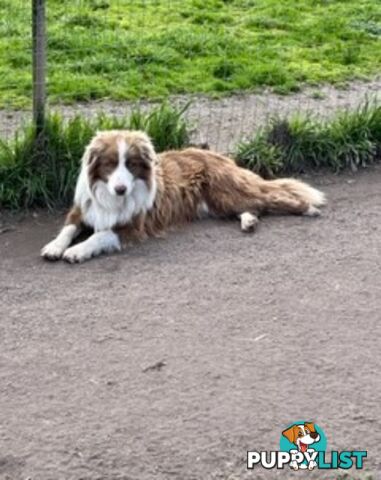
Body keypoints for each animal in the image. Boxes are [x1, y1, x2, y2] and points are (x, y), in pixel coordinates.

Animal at [40, 129, 326, 262]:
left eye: (130, 164)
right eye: (110, 164)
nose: (121, 189)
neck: (112, 198)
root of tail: (219, 155)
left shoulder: (133, 227)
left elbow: (99, 236)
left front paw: (77, 251)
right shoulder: (82, 209)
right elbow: (67, 229)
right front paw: (54, 246)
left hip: (227, 193)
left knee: (273, 199)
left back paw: (307, 208)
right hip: (220, 203)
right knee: (253, 208)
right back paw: (249, 221)